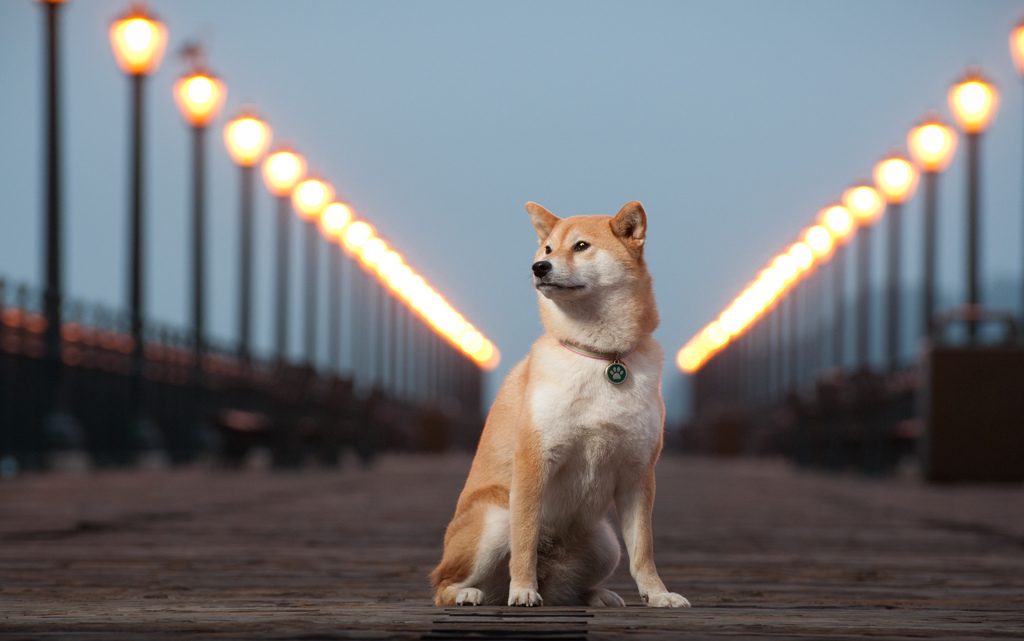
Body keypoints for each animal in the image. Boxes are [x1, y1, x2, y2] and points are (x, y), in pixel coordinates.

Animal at [432, 201, 688, 606]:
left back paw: (597, 595)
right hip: (496, 518)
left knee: (568, 589)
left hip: (606, 544)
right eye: (548, 249)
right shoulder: (534, 460)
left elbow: (643, 551)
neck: (601, 356)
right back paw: (471, 594)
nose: (539, 267)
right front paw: (523, 590)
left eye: (581, 246)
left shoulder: (638, 474)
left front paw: (658, 595)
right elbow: (524, 542)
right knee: (443, 584)